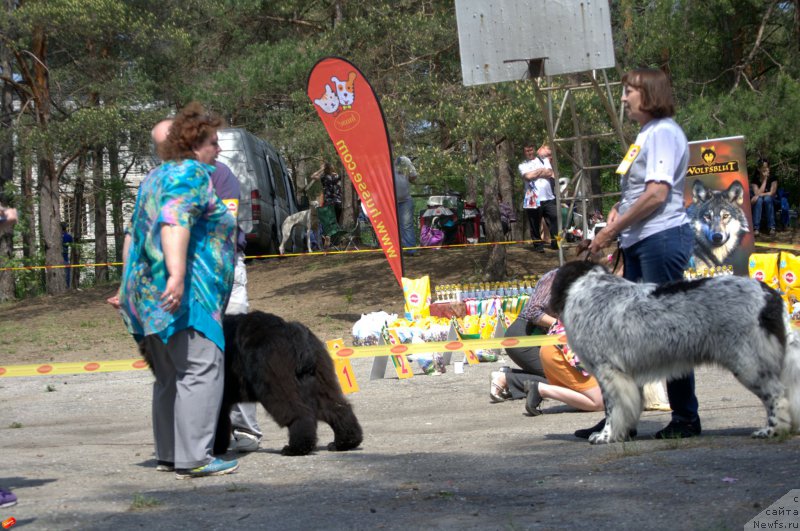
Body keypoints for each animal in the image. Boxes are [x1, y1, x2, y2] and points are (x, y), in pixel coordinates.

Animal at [552, 262, 800, 444]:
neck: (590, 289)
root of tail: (770, 296)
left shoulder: (609, 371)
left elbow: (612, 409)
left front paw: (606, 435)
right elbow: (630, 408)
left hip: (749, 363)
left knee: (776, 395)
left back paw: (772, 430)